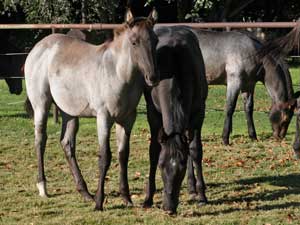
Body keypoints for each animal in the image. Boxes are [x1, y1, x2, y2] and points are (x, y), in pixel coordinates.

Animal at [24, 9, 159, 211]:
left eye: (155, 41)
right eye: (134, 42)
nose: (152, 77)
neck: (117, 72)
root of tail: (38, 48)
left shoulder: (127, 120)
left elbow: (123, 155)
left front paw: (126, 198)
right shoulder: (104, 118)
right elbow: (105, 157)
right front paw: (99, 202)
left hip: (69, 112)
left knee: (67, 143)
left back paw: (85, 192)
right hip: (41, 104)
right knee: (40, 140)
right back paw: (43, 187)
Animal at [144, 25, 209, 214]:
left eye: (180, 168)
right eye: (161, 165)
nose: (169, 207)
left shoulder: (198, 112)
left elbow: (195, 151)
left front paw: (202, 195)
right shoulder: (153, 113)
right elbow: (153, 150)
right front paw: (148, 198)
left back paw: (193, 187)